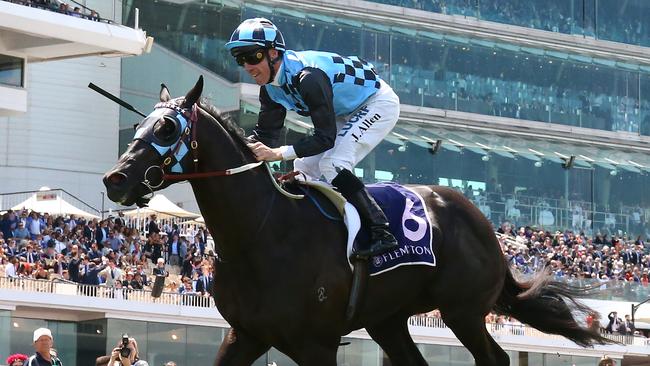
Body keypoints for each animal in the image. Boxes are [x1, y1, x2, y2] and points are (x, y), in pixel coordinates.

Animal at [104, 76, 612, 364]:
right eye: (139, 125)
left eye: (167, 128)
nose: (115, 178)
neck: (262, 232)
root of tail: (483, 224)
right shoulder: (244, 335)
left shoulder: (316, 343)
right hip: (389, 320)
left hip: (463, 311)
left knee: (496, 359)